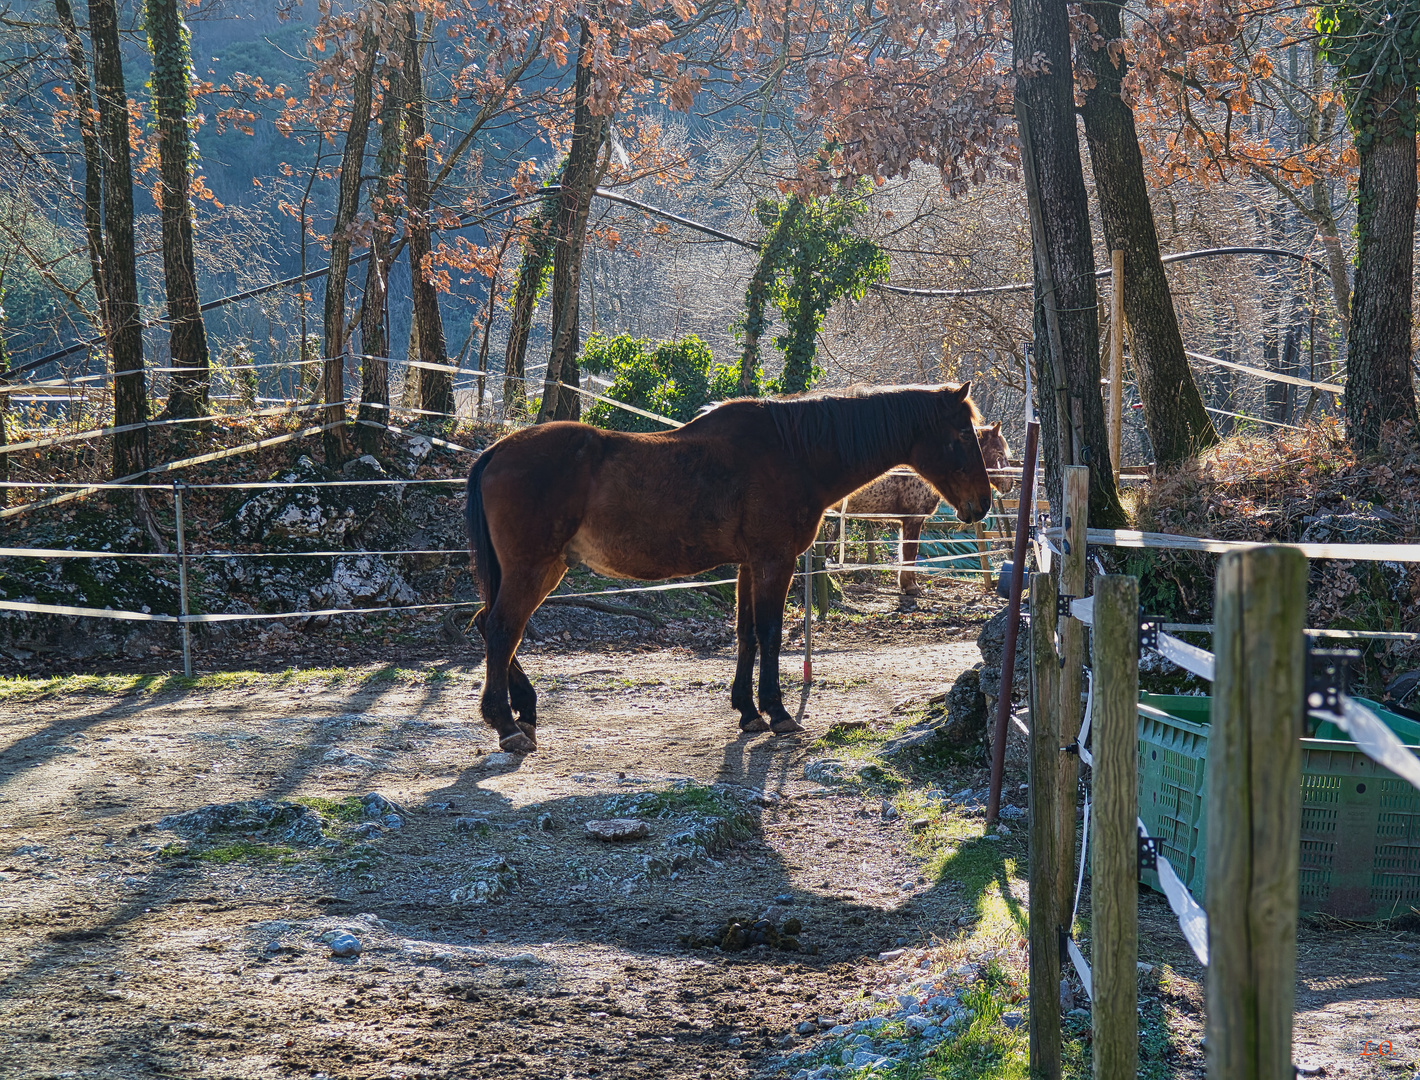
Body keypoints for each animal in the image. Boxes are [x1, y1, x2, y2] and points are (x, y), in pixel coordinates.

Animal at [465, 386, 988, 749]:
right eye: (963, 434)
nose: (982, 504)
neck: (793, 453)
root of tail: (496, 451)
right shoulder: (775, 560)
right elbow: (771, 633)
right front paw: (778, 713)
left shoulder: (748, 565)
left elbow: (746, 633)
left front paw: (747, 710)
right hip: (533, 568)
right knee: (502, 628)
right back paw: (505, 723)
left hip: (540, 569)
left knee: (490, 625)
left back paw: (524, 711)